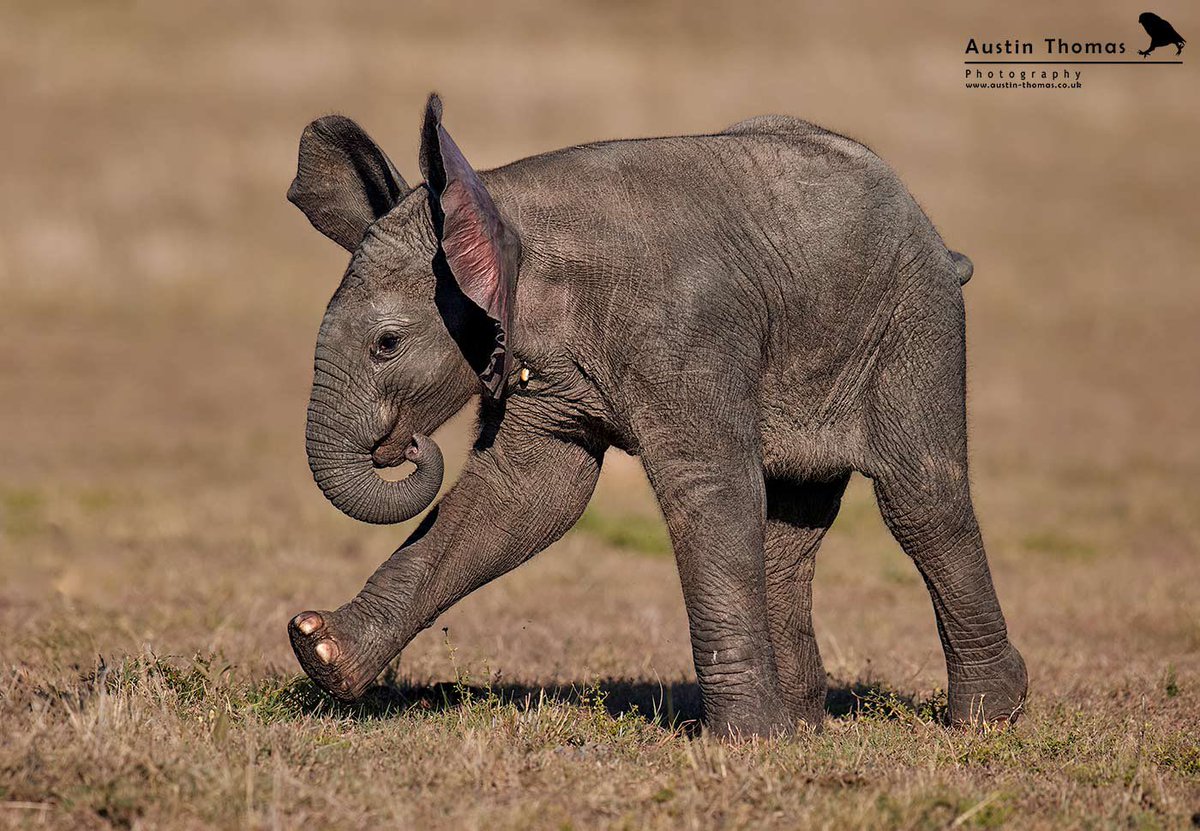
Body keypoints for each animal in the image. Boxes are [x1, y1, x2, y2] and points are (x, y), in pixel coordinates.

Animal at [284, 94, 1027, 738]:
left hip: (915, 319)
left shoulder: (688, 331)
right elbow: (526, 498)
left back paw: (988, 719)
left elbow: (707, 490)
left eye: (386, 344)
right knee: (793, 528)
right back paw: (807, 725)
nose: (406, 446)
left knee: (921, 500)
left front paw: (746, 742)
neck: (508, 211)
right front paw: (319, 650)